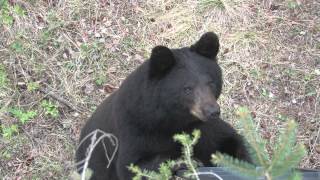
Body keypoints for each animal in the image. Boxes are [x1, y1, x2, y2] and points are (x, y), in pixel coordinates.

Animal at [76, 32, 251, 180]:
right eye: (187, 89)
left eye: (211, 83)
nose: (212, 111)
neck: (174, 119)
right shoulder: (133, 128)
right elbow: (131, 167)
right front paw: (186, 162)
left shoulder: (205, 128)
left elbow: (228, 139)